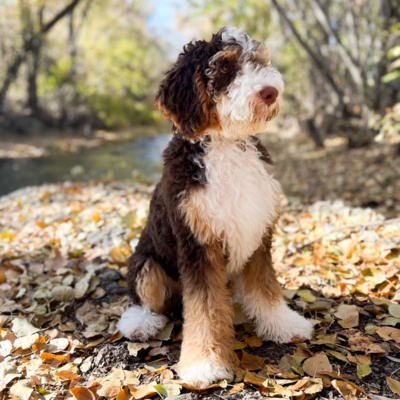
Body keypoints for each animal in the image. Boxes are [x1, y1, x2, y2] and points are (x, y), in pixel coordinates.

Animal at [117, 25, 314, 388]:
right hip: (147, 261)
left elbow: (265, 286)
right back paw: (140, 322)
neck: (225, 144)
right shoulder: (198, 243)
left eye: (258, 61)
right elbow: (205, 310)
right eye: (223, 67)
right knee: (148, 300)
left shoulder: (257, 229)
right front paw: (204, 363)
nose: (270, 92)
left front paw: (283, 324)